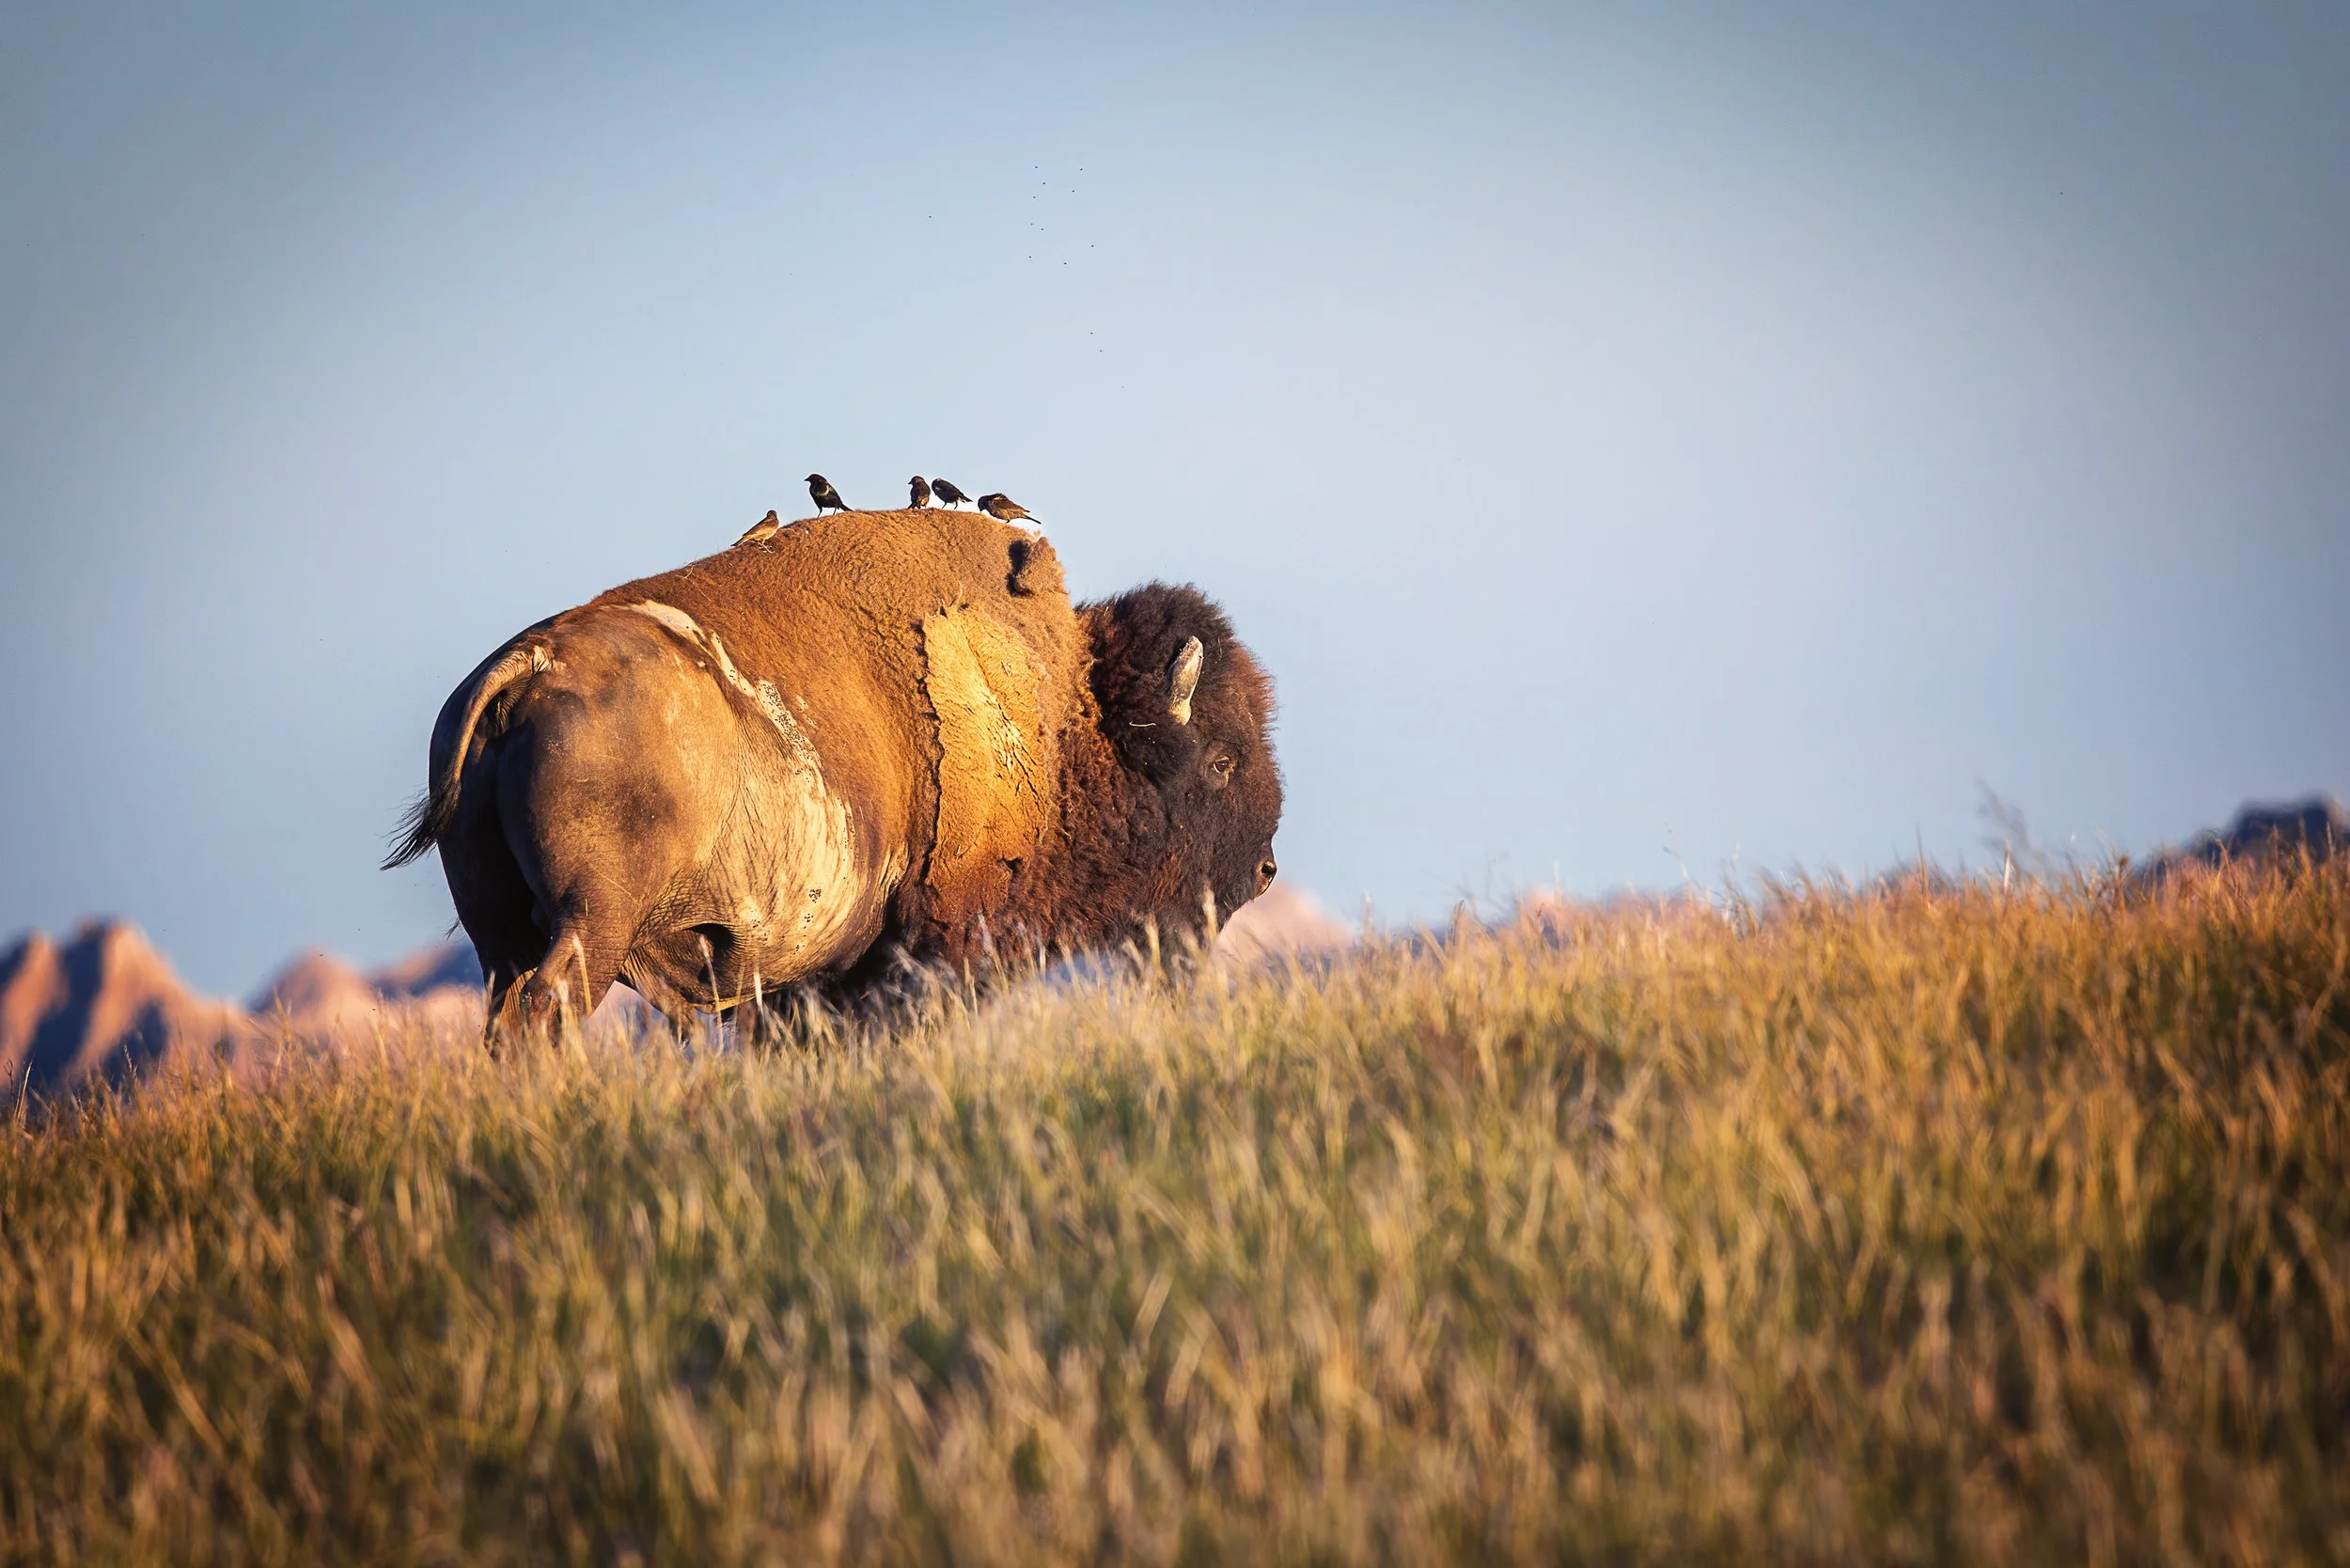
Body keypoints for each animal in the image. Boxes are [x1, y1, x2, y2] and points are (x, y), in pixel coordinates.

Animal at [386, 508, 1282, 1035]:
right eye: (1221, 760)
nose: (1265, 870)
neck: (1065, 720)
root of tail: (526, 670)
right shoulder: (933, 945)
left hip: (498, 933)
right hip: (590, 923)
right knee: (548, 1007)